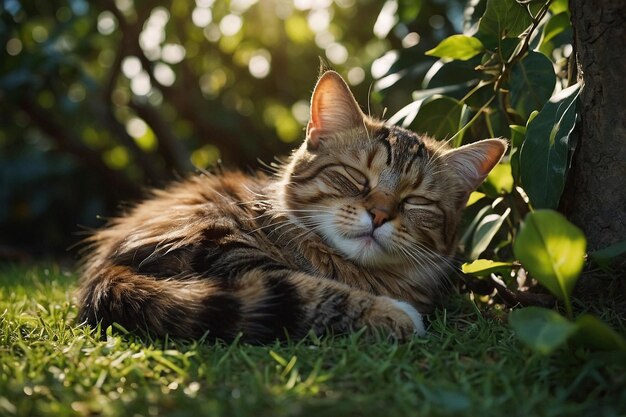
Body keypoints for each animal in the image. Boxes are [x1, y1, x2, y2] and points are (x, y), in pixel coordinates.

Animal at [77, 71, 508, 342]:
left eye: (415, 200)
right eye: (355, 177)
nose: (380, 215)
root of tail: (105, 267)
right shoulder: (248, 269)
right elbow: (318, 293)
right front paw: (393, 313)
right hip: (217, 240)